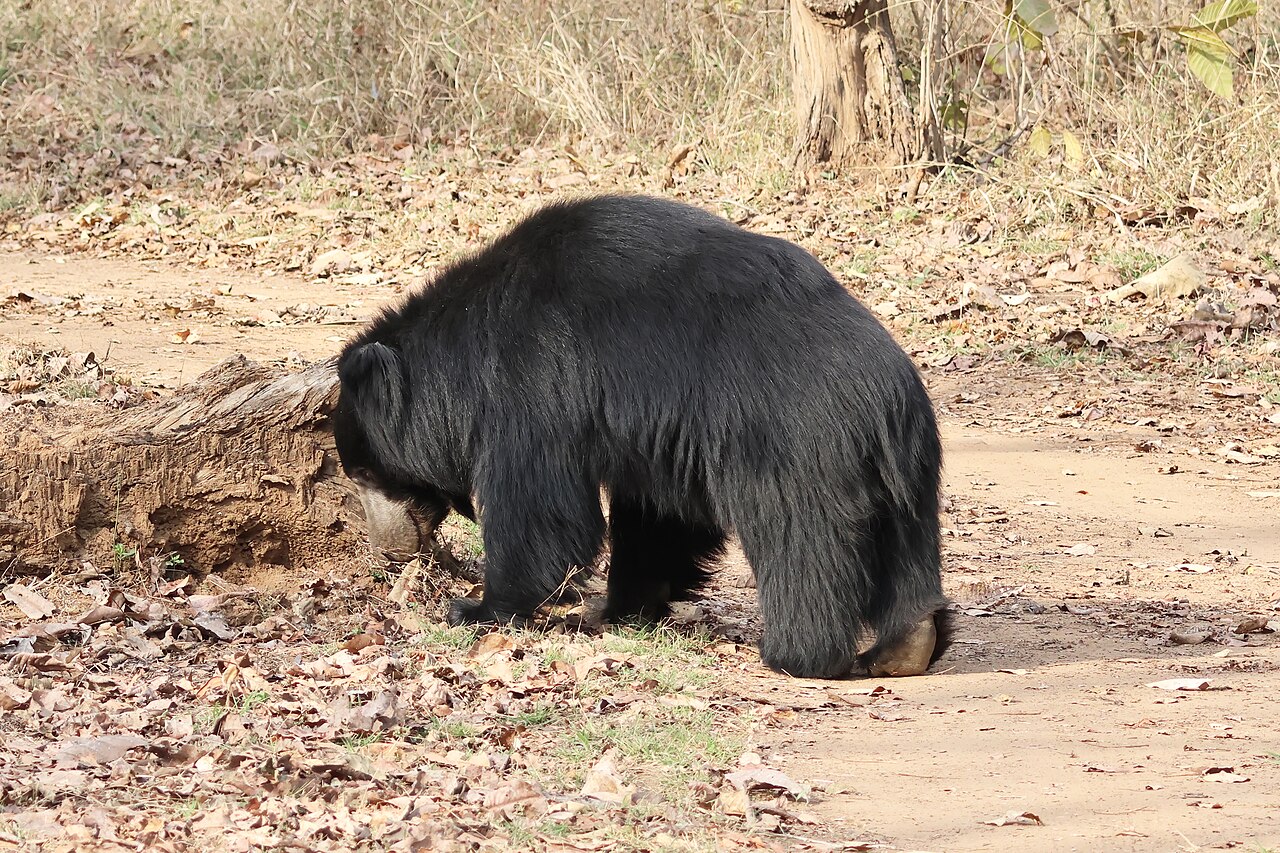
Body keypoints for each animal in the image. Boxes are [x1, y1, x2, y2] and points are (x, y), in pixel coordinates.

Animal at [331, 194, 950, 679]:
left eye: (365, 472)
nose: (388, 551)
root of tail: (883, 397)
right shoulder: (659, 437)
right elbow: (658, 519)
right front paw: (626, 606)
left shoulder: (533, 383)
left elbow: (538, 506)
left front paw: (479, 607)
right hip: (908, 470)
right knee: (907, 543)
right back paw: (905, 645)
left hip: (794, 451)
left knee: (799, 541)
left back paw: (796, 655)